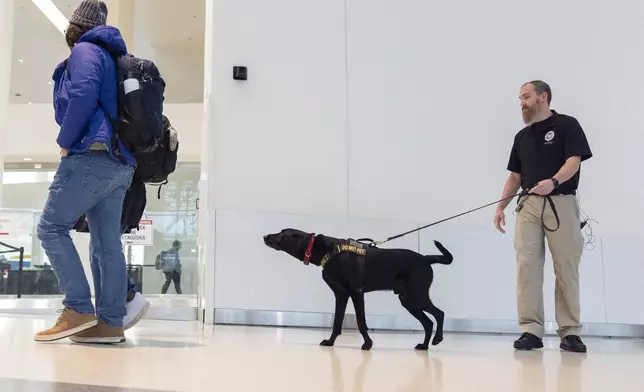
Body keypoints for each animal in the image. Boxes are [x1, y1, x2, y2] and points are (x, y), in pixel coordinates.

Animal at [262, 228, 452, 350]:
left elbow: (361, 321)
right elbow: (337, 321)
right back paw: (424, 346)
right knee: (428, 322)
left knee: (439, 314)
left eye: (281, 234)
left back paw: (438, 339)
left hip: (417, 295)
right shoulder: (341, 295)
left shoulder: (356, 292)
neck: (328, 250)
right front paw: (330, 342)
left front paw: (367, 344)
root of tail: (426, 259)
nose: (264, 236)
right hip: (408, 300)